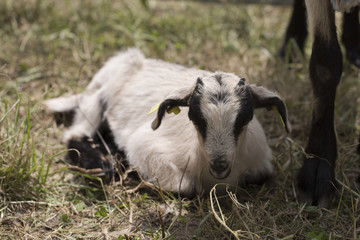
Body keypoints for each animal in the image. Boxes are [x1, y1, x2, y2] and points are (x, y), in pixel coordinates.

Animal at [45, 48, 290, 197]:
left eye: (244, 118)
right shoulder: (146, 147)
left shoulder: (261, 165)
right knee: (76, 132)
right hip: (101, 92)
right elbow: (185, 187)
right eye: (196, 118)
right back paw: (103, 163)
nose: (219, 165)